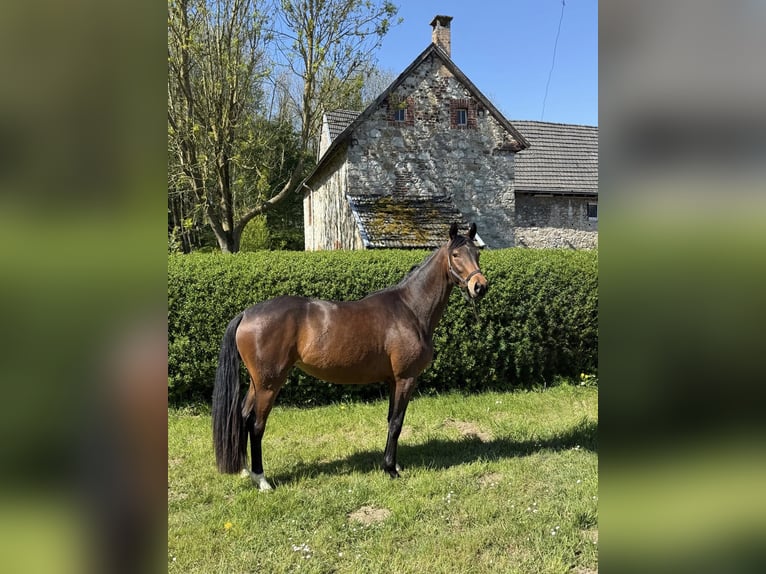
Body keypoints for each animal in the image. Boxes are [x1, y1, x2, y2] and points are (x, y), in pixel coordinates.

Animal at [212, 222, 488, 490]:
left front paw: (393, 464)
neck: (410, 309)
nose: (480, 286)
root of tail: (246, 314)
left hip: (256, 383)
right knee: (256, 424)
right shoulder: (405, 379)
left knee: (243, 417)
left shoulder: (392, 381)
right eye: (456, 255)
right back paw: (262, 480)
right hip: (269, 385)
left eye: (477, 253)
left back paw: (245, 470)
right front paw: (391, 469)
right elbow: (397, 423)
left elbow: (390, 419)